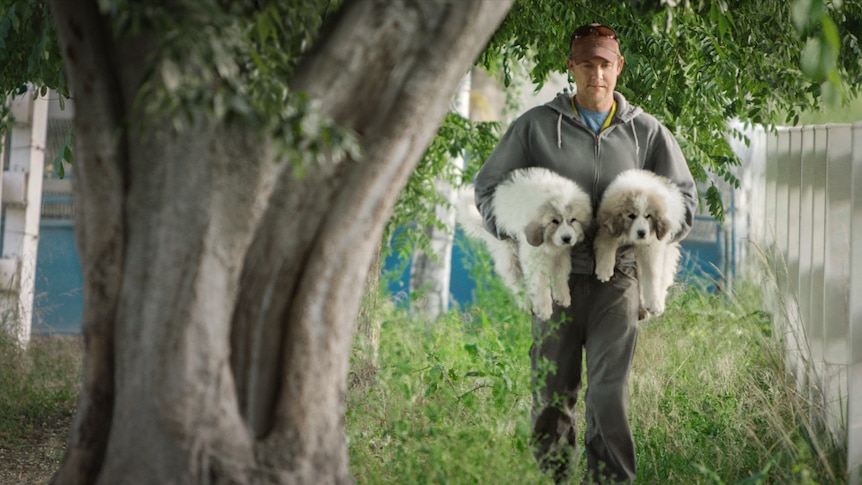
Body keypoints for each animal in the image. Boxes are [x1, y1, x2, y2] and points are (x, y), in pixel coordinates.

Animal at [460, 168, 592, 320]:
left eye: (573, 220)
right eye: (554, 221)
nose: (567, 238)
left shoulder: (561, 254)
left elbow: (561, 273)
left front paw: (562, 296)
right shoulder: (533, 255)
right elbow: (540, 282)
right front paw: (544, 309)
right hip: (508, 250)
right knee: (516, 281)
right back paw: (525, 303)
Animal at [596, 168, 684, 316]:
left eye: (648, 216)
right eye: (631, 215)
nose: (642, 233)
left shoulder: (652, 245)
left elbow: (652, 273)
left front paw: (654, 303)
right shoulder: (607, 229)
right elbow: (606, 245)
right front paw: (604, 269)